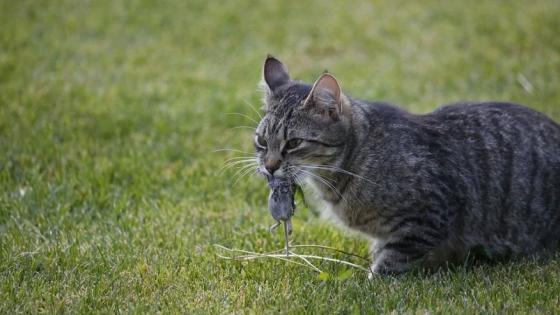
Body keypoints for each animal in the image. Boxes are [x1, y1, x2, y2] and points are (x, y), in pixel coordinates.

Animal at [254, 56, 560, 276]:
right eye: (261, 141)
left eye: (294, 143)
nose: (269, 167)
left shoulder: (429, 214)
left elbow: (393, 259)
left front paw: (373, 280)